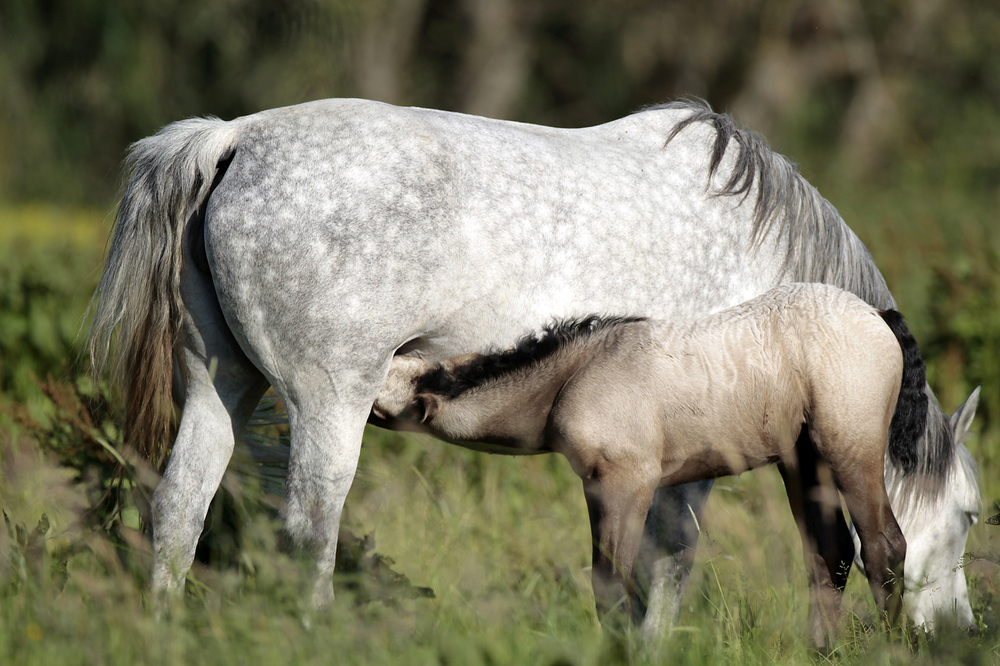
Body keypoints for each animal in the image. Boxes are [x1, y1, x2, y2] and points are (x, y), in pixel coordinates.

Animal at [90, 97, 980, 632]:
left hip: (220, 385)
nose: (958, 634)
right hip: (326, 406)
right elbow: (671, 558)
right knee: (311, 529)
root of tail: (235, 137)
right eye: (972, 514)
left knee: (179, 509)